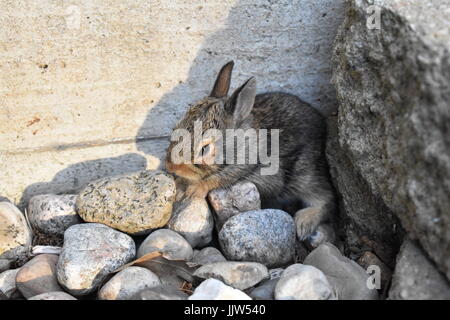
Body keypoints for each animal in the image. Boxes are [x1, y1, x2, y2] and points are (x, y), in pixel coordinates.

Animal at [164, 60, 334, 240]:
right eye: (176, 128)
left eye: (204, 149)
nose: (170, 166)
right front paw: (180, 186)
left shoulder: (242, 168)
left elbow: (216, 180)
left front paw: (193, 190)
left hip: (306, 175)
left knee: (326, 199)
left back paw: (304, 222)